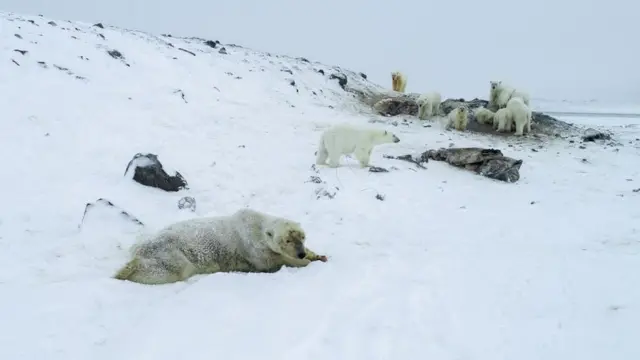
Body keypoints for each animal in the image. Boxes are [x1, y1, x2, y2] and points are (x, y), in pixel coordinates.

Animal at [112, 208, 328, 284]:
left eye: (302, 237)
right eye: (287, 240)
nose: (300, 253)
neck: (257, 225)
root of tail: (137, 248)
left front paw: (318, 255)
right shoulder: (253, 247)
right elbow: (271, 261)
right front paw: (305, 263)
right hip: (168, 251)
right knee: (170, 269)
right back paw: (125, 271)